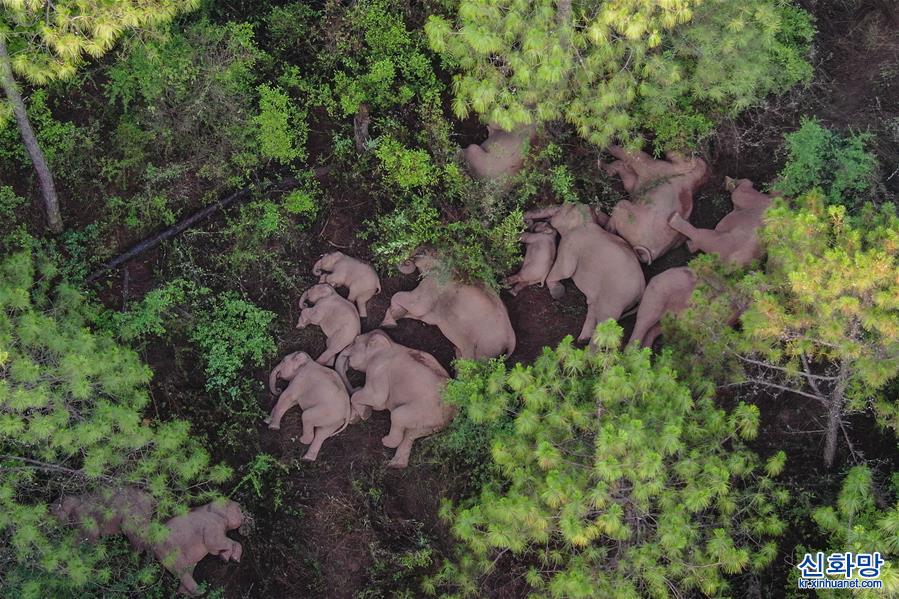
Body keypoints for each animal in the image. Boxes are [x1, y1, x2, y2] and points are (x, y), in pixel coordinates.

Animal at [334, 330, 454, 472]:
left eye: (354, 341)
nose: (348, 364)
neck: (390, 344)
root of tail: (450, 412)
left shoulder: (377, 368)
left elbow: (377, 398)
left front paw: (365, 414)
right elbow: (378, 402)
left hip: (424, 411)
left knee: (397, 416)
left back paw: (386, 442)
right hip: (433, 423)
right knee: (412, 433)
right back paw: (396, 464)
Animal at [382, 250, 520, 358]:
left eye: (425, 252)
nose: (407, 260)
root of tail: (511, 339)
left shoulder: (432, 284)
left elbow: (413, 304)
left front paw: (388, 323)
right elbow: (421, 315)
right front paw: (392, 319)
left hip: (485, 347)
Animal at [520, 203, 648, 342]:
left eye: (559, 208)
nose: (525, 218)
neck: (587, 222)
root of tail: (642, 291)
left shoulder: (570, 243)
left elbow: (565, 269)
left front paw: (558, 294)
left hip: (616, 297)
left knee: (604, 319)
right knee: (593, 308)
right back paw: (583, 339)